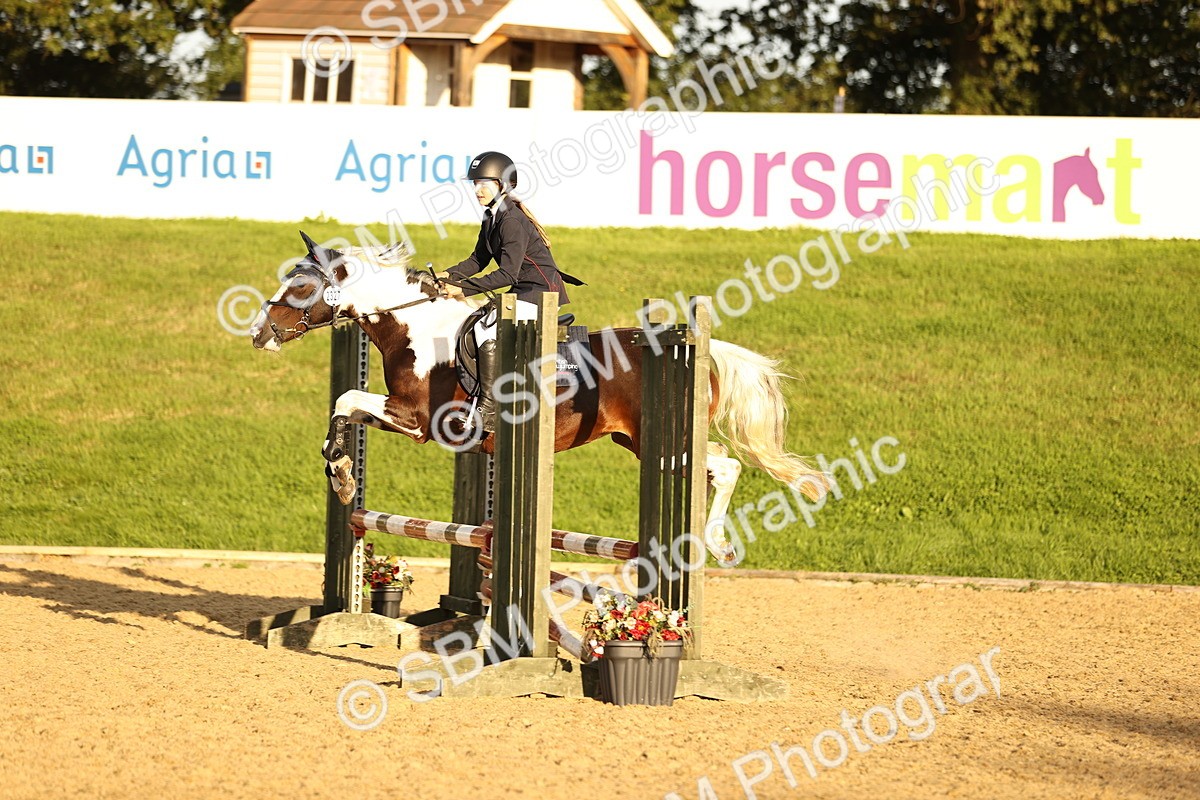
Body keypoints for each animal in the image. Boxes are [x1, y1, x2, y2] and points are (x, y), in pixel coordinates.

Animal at [248, 232, 829, 563]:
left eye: (299, 288)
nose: (259, 334)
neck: (415, 326)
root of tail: (697, 350)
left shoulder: (417, 417)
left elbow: (346, 399)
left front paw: (342, 475)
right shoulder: (404, 417)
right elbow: (345, 407)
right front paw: (344, 473)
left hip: (663, 442)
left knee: (727, 467)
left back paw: (714, 540)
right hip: (642, 444)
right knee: (719, 466)